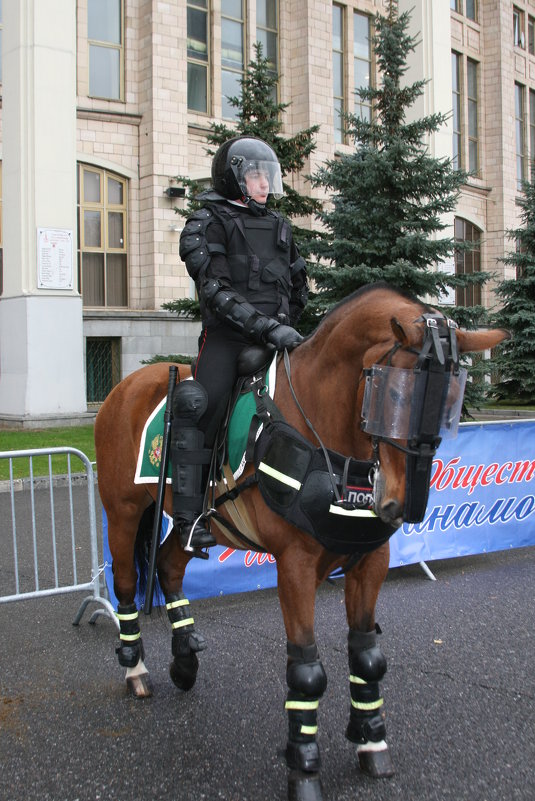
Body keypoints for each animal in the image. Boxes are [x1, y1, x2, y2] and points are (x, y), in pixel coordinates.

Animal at [96, 286, 510, 800]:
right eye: (393, 394)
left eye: (453, 401)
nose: (401, 505)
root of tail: (127, 385)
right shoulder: (294, 565)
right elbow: (306, 670)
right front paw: (304, 768)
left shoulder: (370, 561)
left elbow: (367, 657)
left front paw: (371, 742)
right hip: (123, 512)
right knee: (127, 583)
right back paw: (136, 669)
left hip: (190, 522)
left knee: (170, 566)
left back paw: (186, 659)